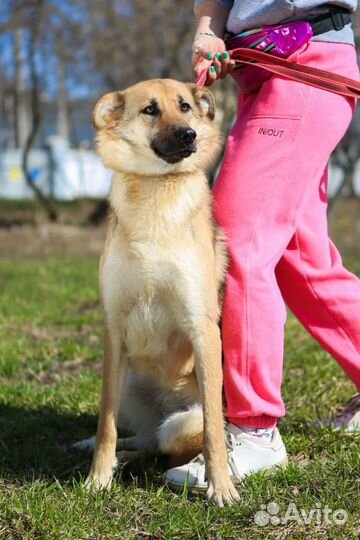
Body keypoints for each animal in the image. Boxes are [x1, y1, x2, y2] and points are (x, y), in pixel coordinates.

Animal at [85, 77, 239, 506]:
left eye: (184, 106)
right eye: (150, 110)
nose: (188, 135)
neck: (156, 187)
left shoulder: (202, 327)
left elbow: (214, 432)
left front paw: (221, 487)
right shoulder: (114, 332)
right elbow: (106, 424)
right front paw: (98, 477)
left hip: (180, 424)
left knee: (166, 444)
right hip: (128, 385)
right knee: (142, 438)